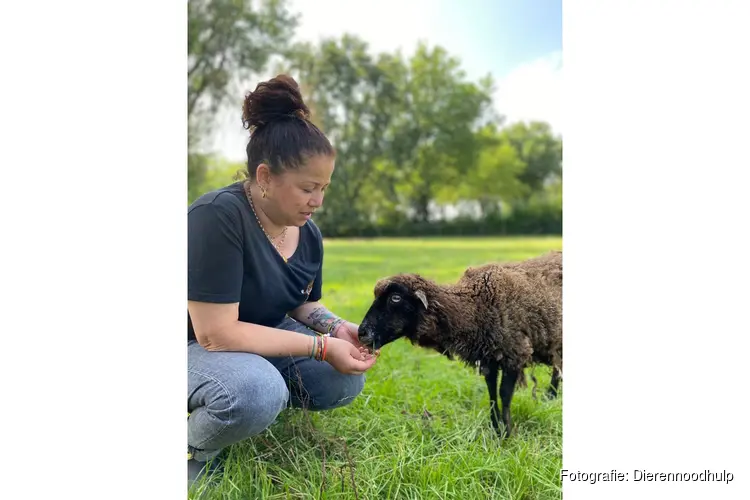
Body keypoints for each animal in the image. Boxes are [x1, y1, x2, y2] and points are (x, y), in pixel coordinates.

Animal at [360, 250, 564, 438]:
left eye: (395, 298)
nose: (361, 333)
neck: (475, 306)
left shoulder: (514, 353)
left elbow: (504, 395)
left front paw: (507, 433)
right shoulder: (488, 358)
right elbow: (491, 393)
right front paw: (495, 428)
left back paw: (551, 397)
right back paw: (550, 399)